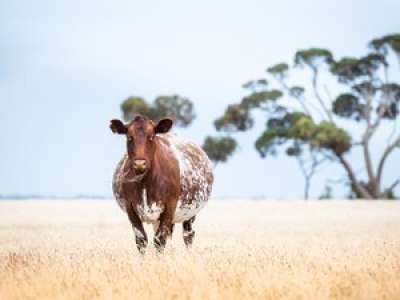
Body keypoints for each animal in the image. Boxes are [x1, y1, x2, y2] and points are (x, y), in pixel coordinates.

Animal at [108, 115, 214, 253]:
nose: (140, 164)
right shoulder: (130, 208)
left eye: (151, 136)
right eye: (129, 137)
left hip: (191, 212)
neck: (145, 183)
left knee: (188, 235)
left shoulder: (169, 207)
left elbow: (159, 241)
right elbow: (141, 240)